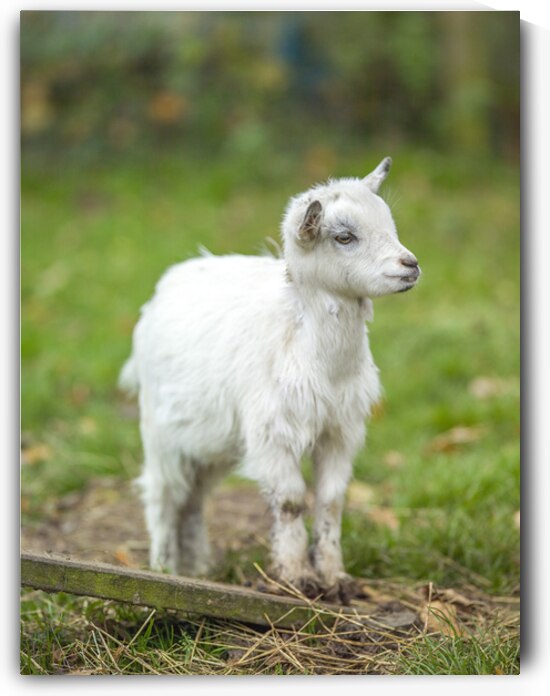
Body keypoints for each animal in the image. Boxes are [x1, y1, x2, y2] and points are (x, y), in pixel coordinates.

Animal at [119, 157, 420, 601]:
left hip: (211, 441)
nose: (410, 265)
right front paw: (295, 578)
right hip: (160, 430)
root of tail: (169, 281)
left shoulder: (340, 430)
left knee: (193, 499)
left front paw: (336, 578)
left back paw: (198, 568)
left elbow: (331, 502)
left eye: (389, 223)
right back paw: (163, 567)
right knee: (162, 493)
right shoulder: (273, 433)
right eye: (344, 237)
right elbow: (292, 501)